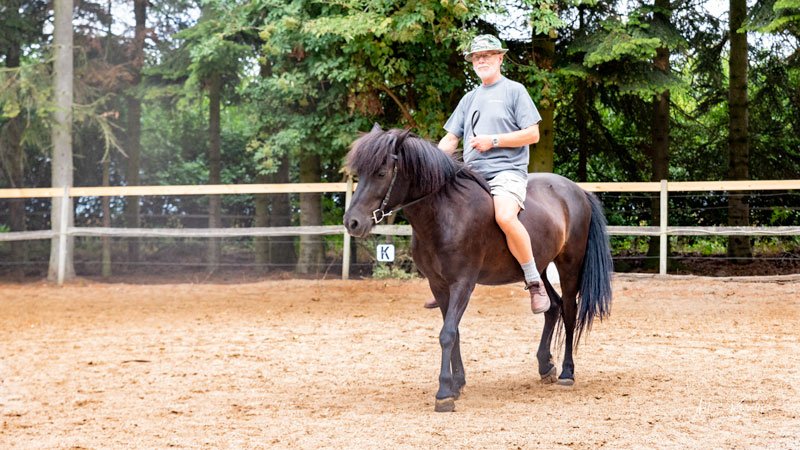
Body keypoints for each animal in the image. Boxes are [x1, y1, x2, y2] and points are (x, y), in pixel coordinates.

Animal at [344, 125, 612, 412]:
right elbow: (454, 331)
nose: (352, 222)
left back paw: (566, 372)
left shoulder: (463, 283)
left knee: (570, 311)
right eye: (360, 174)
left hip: (569, 266)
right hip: (538, 268)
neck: (446, 213)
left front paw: (444, 393)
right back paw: (545, 365)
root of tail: (578, 191)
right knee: (552, 307)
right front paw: (457, 383)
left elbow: (447, 333)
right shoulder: (439, 285)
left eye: (381, 173)